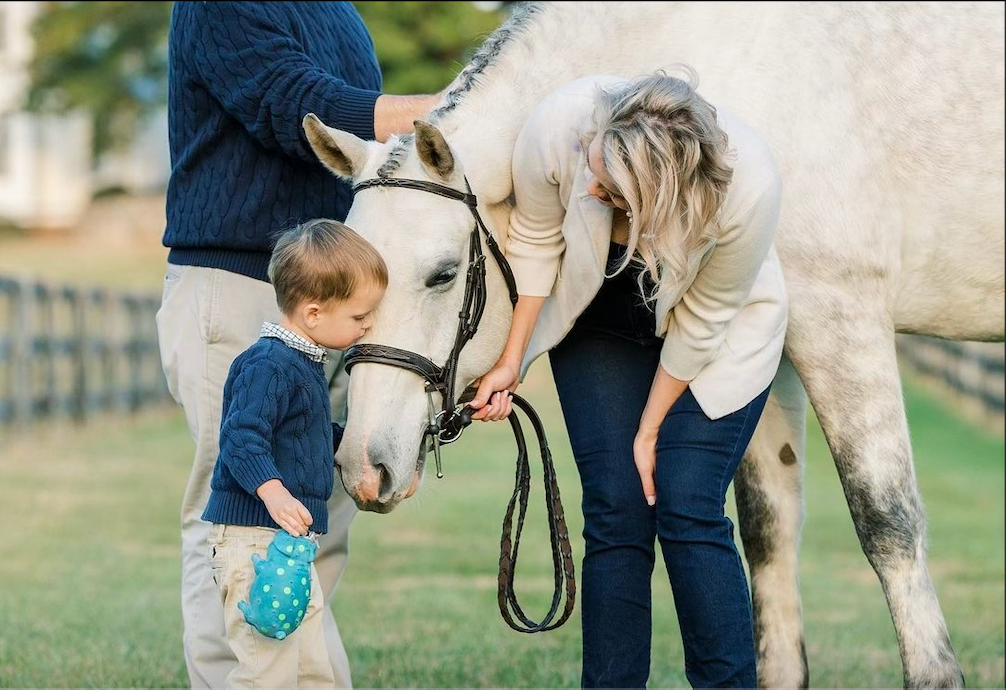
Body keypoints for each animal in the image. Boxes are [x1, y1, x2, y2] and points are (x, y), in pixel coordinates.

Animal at [302, 2, 1005, 687]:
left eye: (444, 274)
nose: (363, 468)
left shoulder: (840, 316)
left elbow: (887, 520)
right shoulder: (771, 352)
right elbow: (770, 528)